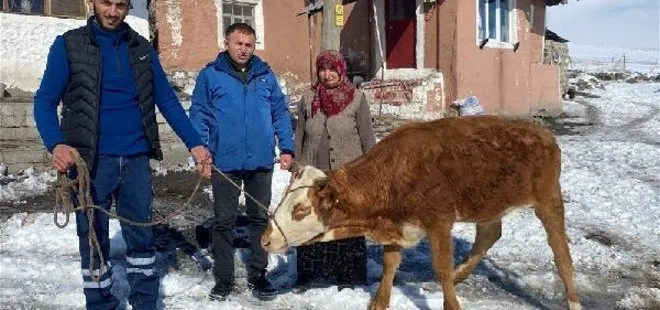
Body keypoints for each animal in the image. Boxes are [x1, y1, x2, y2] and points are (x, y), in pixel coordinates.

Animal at [262, 115, 584, 310]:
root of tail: (542, 132)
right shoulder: (397, 226)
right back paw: (461, 273)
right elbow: (390, 264)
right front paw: (379, 302)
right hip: (488, 203)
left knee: (562, 255)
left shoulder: (439, 221)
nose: (265, 240)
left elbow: (440, 267)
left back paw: (573, 300)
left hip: (549, 200)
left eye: (300, 209)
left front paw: (451, 302)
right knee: (490, 233)